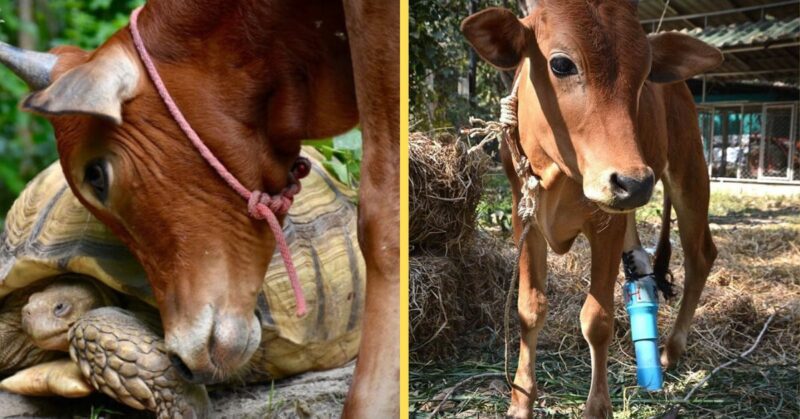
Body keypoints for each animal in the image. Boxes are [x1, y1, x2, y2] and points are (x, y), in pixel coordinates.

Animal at [460, 1, 720, 418]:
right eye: (561, 64)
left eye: (645, 74)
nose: (634, 183)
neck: (559, 172)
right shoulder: (524, 217)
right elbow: (529, 309)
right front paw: (521, 400)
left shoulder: (606, 224)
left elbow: (597, 319)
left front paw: (598, 407)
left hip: (689, 168)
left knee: (700, 254)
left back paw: (672, 349)